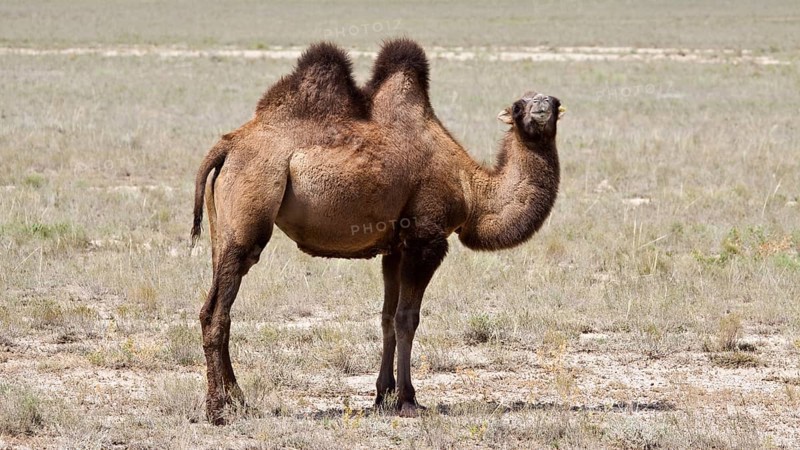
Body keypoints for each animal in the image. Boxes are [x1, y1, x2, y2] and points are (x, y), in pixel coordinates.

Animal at [191, 39, 565, 424]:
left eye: (555, 103)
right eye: (518, 106)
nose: (541, 108)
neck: (470, 189)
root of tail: (228, 145)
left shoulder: (394, 248)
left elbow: (387, 317)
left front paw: (383, 395)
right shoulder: (425, 240)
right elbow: (407, 319)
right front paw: (408, 400)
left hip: (223, 229)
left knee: (216, 306)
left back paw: (239, 400)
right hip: (250, 211)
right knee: (217, 311)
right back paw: (217, 409)